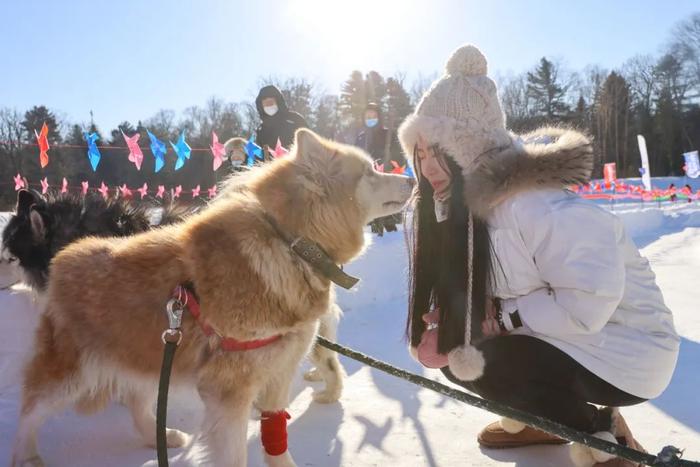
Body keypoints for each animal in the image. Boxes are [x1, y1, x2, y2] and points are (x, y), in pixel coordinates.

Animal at [10, 130, 412, 467]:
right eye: (370, 172)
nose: (411, 178)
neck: (291, 244)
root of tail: (66, 254)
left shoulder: (278, 375)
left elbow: (275, 438)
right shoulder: (228, 393)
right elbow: (234, 456)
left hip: (150, 356)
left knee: (138, 401)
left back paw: (158, 436)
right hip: (72, 373)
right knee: (30, 408)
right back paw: (25, 456)